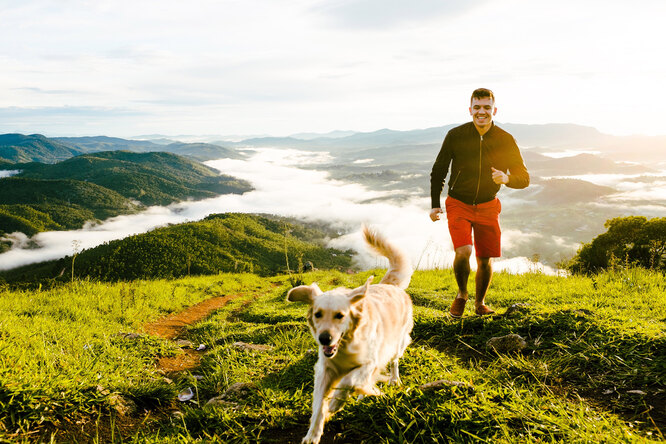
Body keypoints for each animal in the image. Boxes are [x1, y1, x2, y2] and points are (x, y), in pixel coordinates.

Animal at [286, 225, 410, 444]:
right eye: (318, 314)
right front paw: (313, 434)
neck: (345, 345)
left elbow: (348, 381)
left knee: (394, 362)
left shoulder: (369, 362)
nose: (324, 338)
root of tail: (390, 285)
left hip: (397, 343)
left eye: (340, 315)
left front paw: (336, 403)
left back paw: (393, 380)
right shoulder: (325, 369)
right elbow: (319, 405)